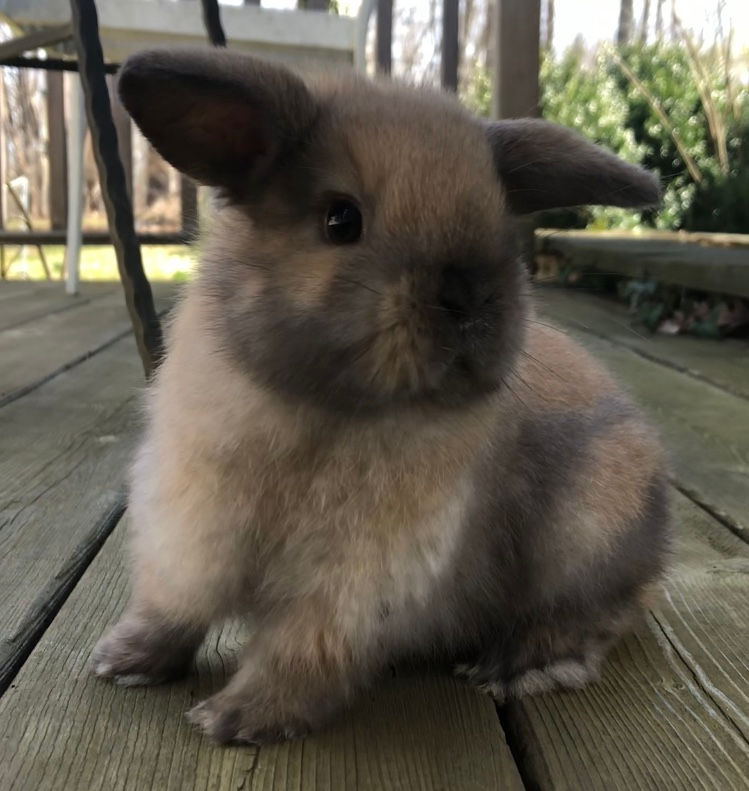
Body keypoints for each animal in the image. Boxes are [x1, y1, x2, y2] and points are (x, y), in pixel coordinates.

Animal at [92, 48, 670, 745]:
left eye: (500, 223)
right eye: (341, 219)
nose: (467, 296)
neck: (328, 410)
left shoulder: (358, 580)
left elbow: (302, 649)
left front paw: (237, 718)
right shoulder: (188, 531)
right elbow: (172, 607)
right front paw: (124, 660)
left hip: (585, 541)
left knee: (593, 618)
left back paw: (517, 667)